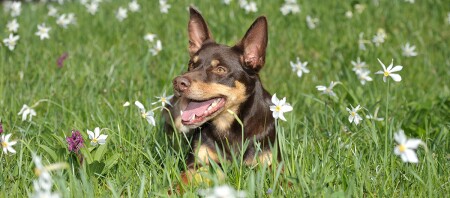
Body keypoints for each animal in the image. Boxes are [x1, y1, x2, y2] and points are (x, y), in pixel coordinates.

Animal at [165, 6, 278, 185]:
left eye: (220, 69)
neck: (227, 125)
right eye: (191, 65)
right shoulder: (196, 163)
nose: (178, 82)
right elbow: (183, 179)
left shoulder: (272, 166)